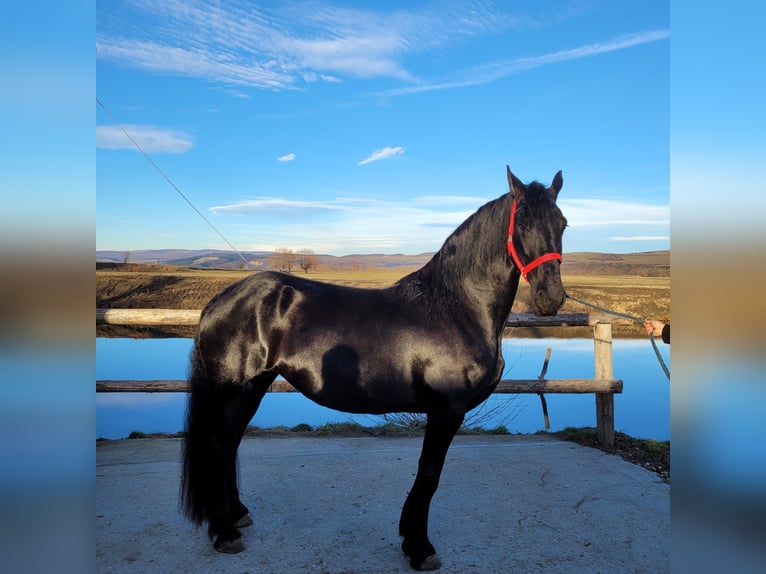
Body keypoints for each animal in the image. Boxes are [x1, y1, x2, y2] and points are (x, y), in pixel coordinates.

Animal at [181, 165, 567, 571]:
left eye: (562, 223)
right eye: (523, 222)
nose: (550, 298)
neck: (456, 307)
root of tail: (220, 301)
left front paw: (410, 538)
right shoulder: (446, 410)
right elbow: (429, 475)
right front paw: (420, 548)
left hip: (254, 386)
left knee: (229, 445)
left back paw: (238, 515)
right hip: (233, 388)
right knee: (218, 446)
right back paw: (225, 533)